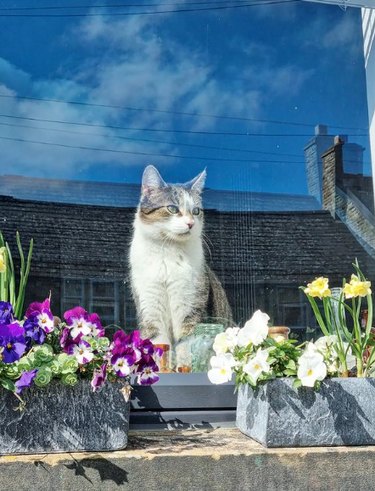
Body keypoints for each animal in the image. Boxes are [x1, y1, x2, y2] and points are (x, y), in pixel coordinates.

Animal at [131, 165, 234, 366]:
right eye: (172, 208)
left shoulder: (191, 305)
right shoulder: (150, 307)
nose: (191, 223)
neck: (168, 252)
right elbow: (158, 344)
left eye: (196, 211)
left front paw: (184, 367)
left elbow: (186, 345)